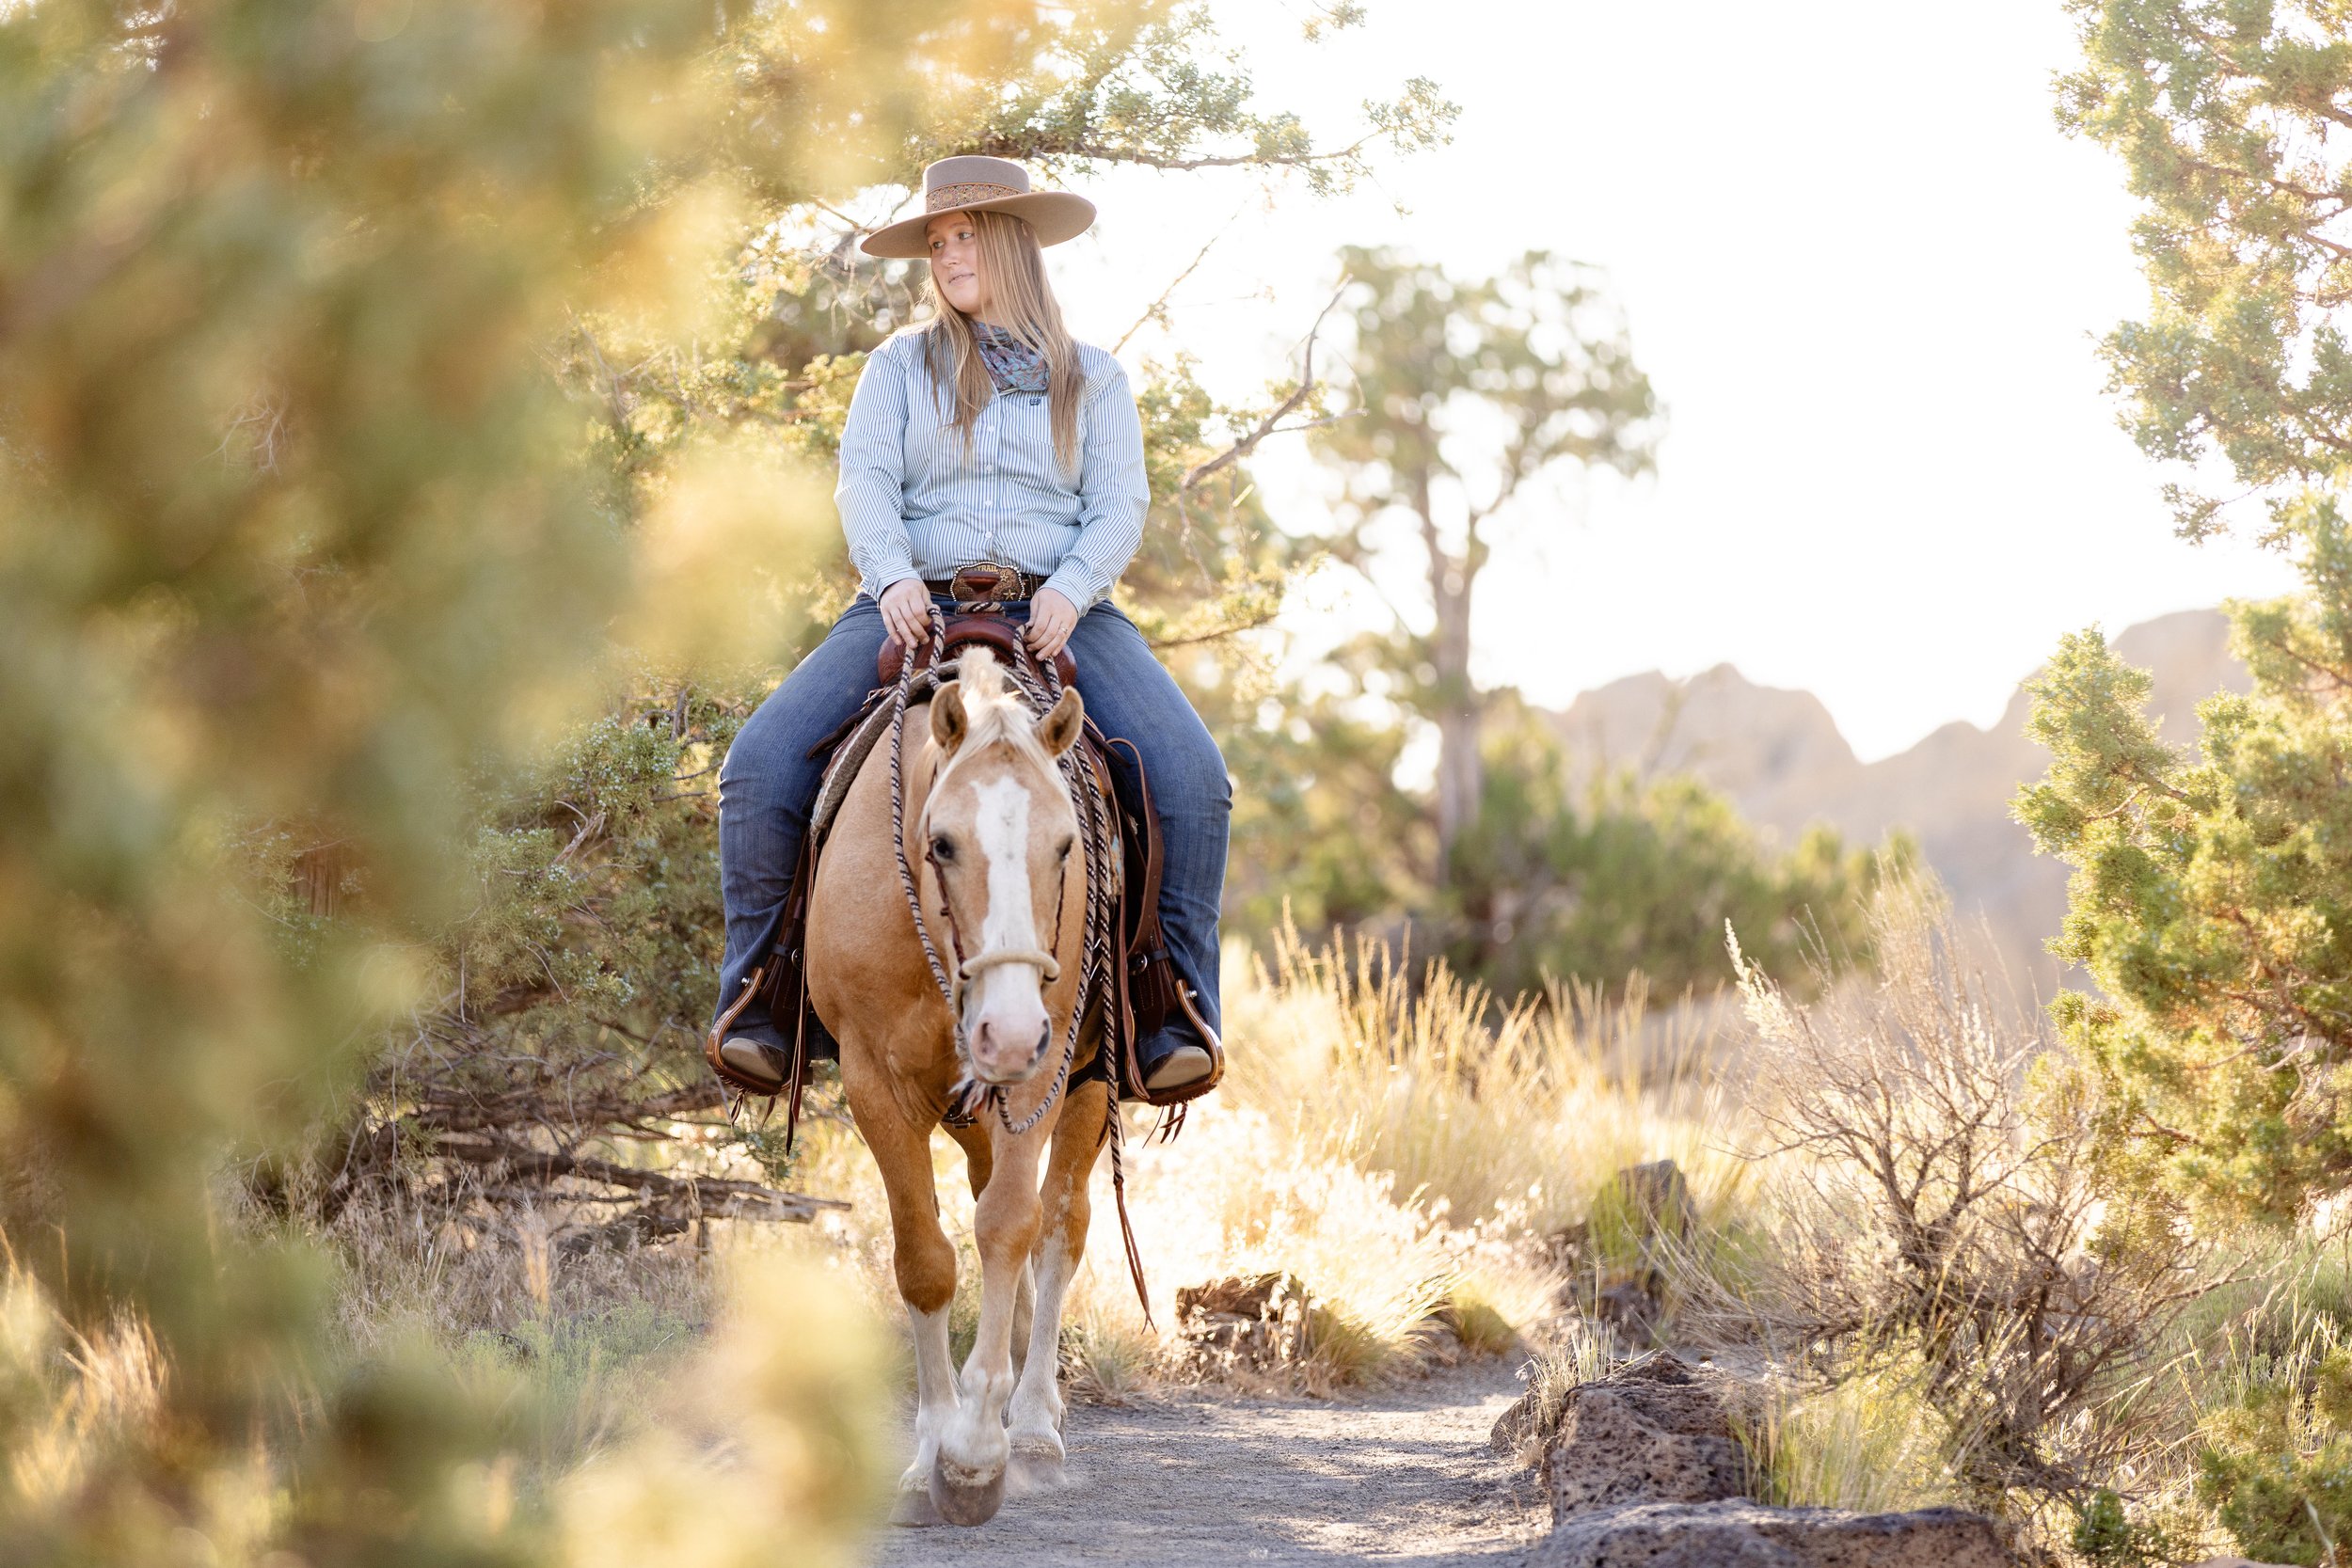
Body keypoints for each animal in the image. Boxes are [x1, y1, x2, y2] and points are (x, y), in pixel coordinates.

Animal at [804, 643, 1105, 1523]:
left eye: (1066, 846)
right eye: (941, 843)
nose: (1006, 1029)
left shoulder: (1045, 1065)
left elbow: (1008, 1224)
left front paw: (975, 1450)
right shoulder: (875, 1081)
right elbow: (925, 1258)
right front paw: (933, 1449)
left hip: (1084, 1080)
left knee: (1060, 1223)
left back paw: (1032, 1421)